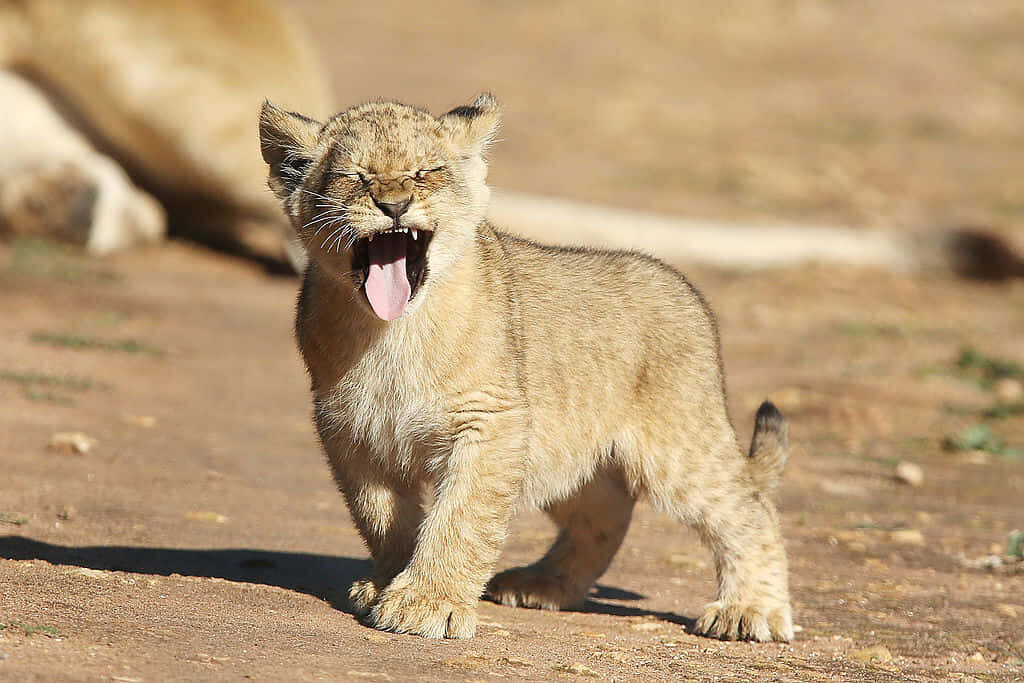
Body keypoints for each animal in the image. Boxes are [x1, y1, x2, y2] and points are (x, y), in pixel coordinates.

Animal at [259, 93, 794, 641]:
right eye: (356, 176)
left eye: (426, 172)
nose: (393, 205)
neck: (393, 333)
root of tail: (684, 287)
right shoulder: (351, 431)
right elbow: (383, 519)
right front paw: (388, 582)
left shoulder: (491, 423)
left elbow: (461, 516)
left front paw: (430, 602)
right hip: (565, 454)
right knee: (604, 515)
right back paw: (544, 585)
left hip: (675, 446)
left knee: (749, 507)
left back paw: (748, 610)